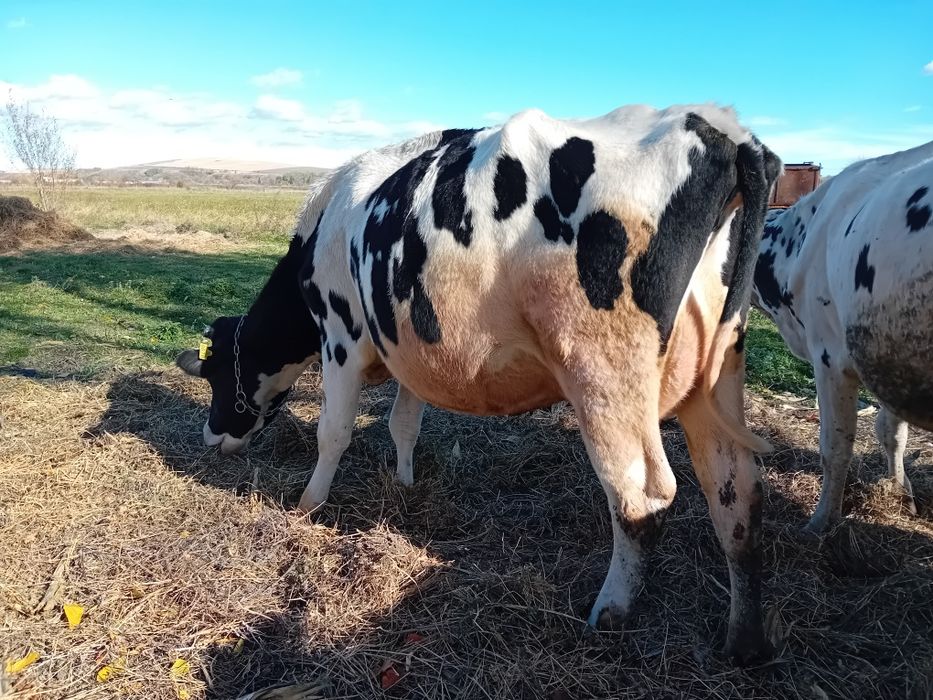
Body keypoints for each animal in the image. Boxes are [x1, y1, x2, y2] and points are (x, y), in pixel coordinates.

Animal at [176, 104, 781, 663]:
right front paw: (404, 484)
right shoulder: (409, 349)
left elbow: (334, 432)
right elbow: (403, 424)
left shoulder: (341, 338)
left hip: (606, 376)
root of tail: (726, 134)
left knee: (643, 497)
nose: (210, 437)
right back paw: (745, 640)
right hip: (717, 376)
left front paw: (306, 506)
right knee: (737, 493)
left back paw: (609, 612)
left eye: (215, 372)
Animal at [752, 141, 933, 533]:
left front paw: (821, 522)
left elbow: (836, 446)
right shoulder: (886, 356)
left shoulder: (830, 356)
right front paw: (902, 493)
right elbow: (891, 432)